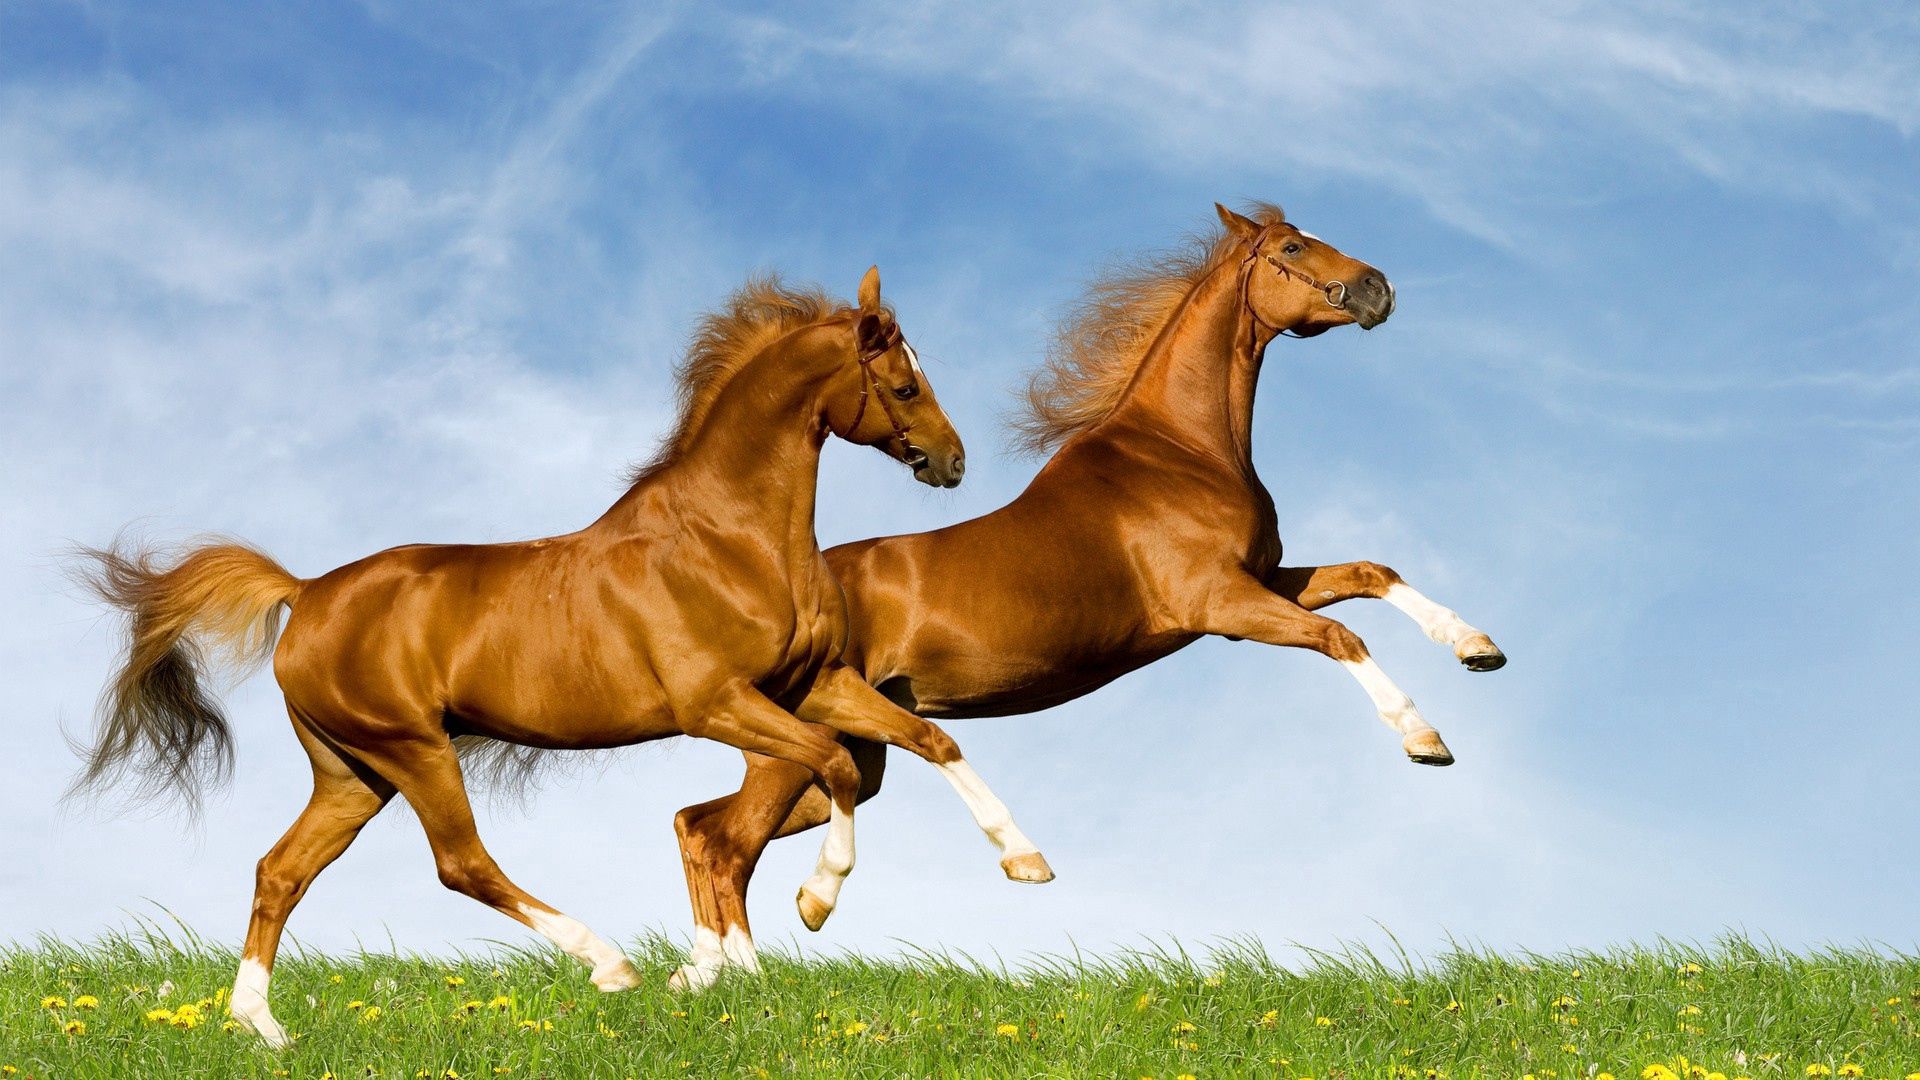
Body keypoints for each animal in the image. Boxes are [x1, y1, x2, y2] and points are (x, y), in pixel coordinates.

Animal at [71, 269, 1052, 1045]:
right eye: (903, 384)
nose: (953, 462)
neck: (731, 537)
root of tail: (306, 592)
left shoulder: (812, 685)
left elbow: (930, 741)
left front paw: (1025, 862)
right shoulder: (717, 703)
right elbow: (832, 770)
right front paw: (809, 908)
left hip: (352, 771)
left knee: (281, 872)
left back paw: (261, 1027)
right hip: (412, 749)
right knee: (461, 863)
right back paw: (609, 963)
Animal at [668, 203, 1505, 976]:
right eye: (1293, 248)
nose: (1377, 288)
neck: (1181, 451)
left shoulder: (1266, 580)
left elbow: (1372, 574)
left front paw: (1476, 646)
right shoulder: (1224, 605)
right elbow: (1341, 636)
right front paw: (1424, 739)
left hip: (848, 753)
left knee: (700, 825)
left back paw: (708, 972)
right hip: (799, 748)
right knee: (724, 842)